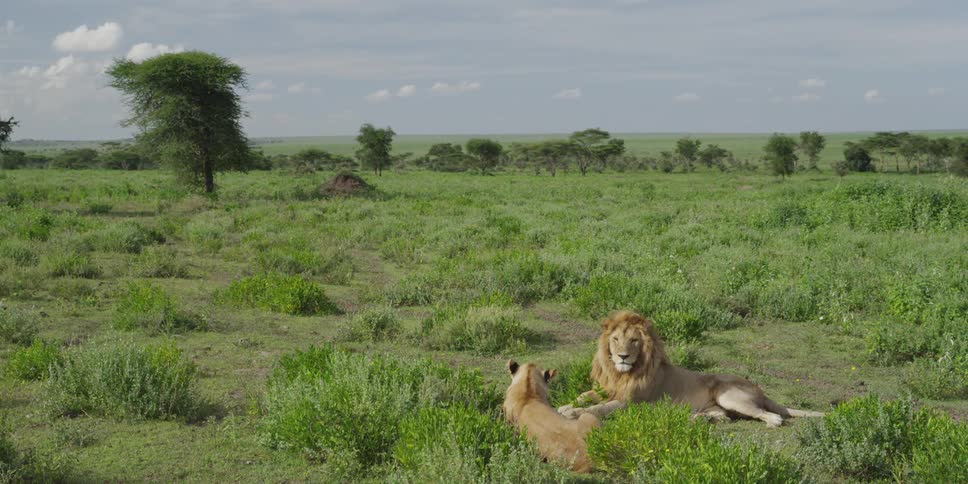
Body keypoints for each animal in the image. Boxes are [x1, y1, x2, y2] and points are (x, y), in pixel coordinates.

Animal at [559, 310, 824, 427]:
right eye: (615, 339)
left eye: (634, 340)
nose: (623, 356)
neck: (620, 373)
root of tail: (759, 389)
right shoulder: (606, 389)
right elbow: (584, 396)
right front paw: (565, 406)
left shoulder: (629, 402)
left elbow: (598, 409)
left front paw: (573, 413)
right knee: (723, 416)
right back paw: (695, 417)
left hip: (729, 395)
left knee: (769, 414)